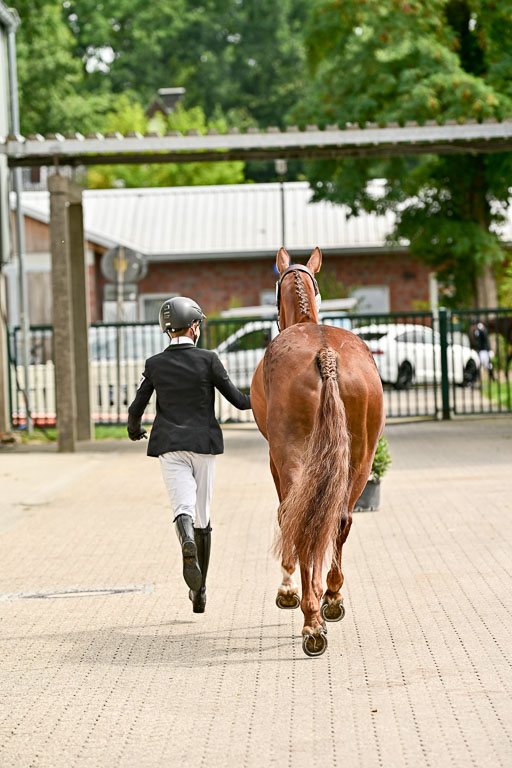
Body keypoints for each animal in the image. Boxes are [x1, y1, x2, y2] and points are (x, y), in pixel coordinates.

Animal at [250, 247, 385, 657]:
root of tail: (325, 353)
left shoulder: (275, 461)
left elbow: (285, 516)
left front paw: (288, 590)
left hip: (293, 457)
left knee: (302, 521)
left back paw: (311, 618)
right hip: (360, 460)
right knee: (339, 519)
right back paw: (331, 598)